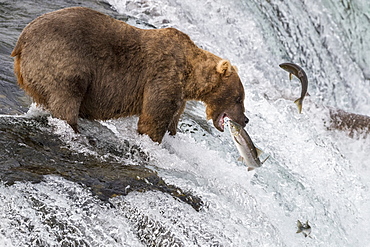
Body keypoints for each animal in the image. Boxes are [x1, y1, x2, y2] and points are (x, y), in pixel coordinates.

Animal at [11, 6, 249, 143]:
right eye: (239, 98)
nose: (245, 119)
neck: (191, 78)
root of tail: (21, 42)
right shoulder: (164, 76)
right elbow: (153, 120)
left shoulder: (179, 95)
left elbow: (172, 120)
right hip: (64, 59)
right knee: (66, 97)